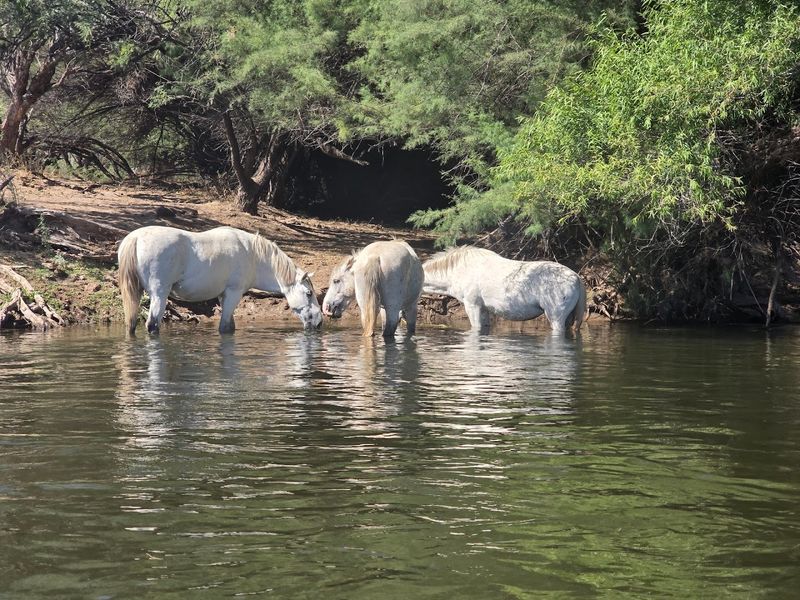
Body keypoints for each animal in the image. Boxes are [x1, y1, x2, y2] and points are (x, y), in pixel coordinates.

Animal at [117, 225, 322, 334]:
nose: (319, 322)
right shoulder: (233, 293)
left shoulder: (224, 296)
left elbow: (230, 326)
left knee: (132, 323)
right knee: (152, 325)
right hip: (160, 294)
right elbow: (225, 327)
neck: (253, 256)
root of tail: (136, 238)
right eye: (308, 293)